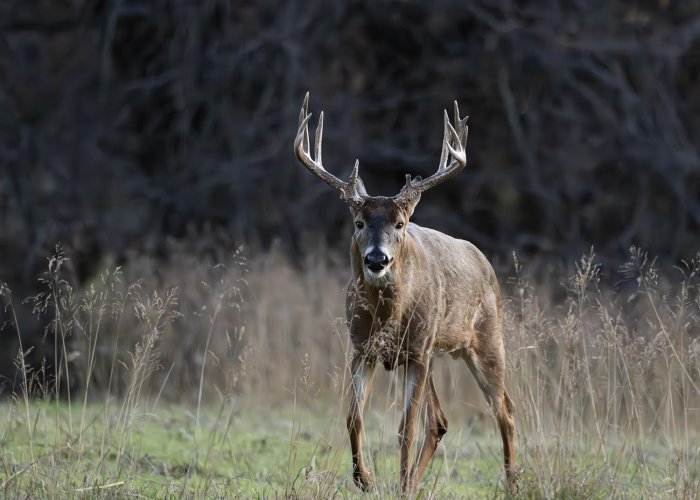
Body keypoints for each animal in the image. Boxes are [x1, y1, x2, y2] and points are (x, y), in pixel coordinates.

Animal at [292, 94, 516, 496]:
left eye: (400, 223)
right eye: (359, 222)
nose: (377, 258)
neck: (388, 315)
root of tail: (485, 262)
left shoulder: (416, 352)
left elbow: (405, 429)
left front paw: (386, 482)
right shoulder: (363, 348)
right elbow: (353, 416)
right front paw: (364, 479)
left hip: (485, 338)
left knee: (504, 411)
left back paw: (511, 485)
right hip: (431, 354)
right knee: (440, 420)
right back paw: (411, 484)